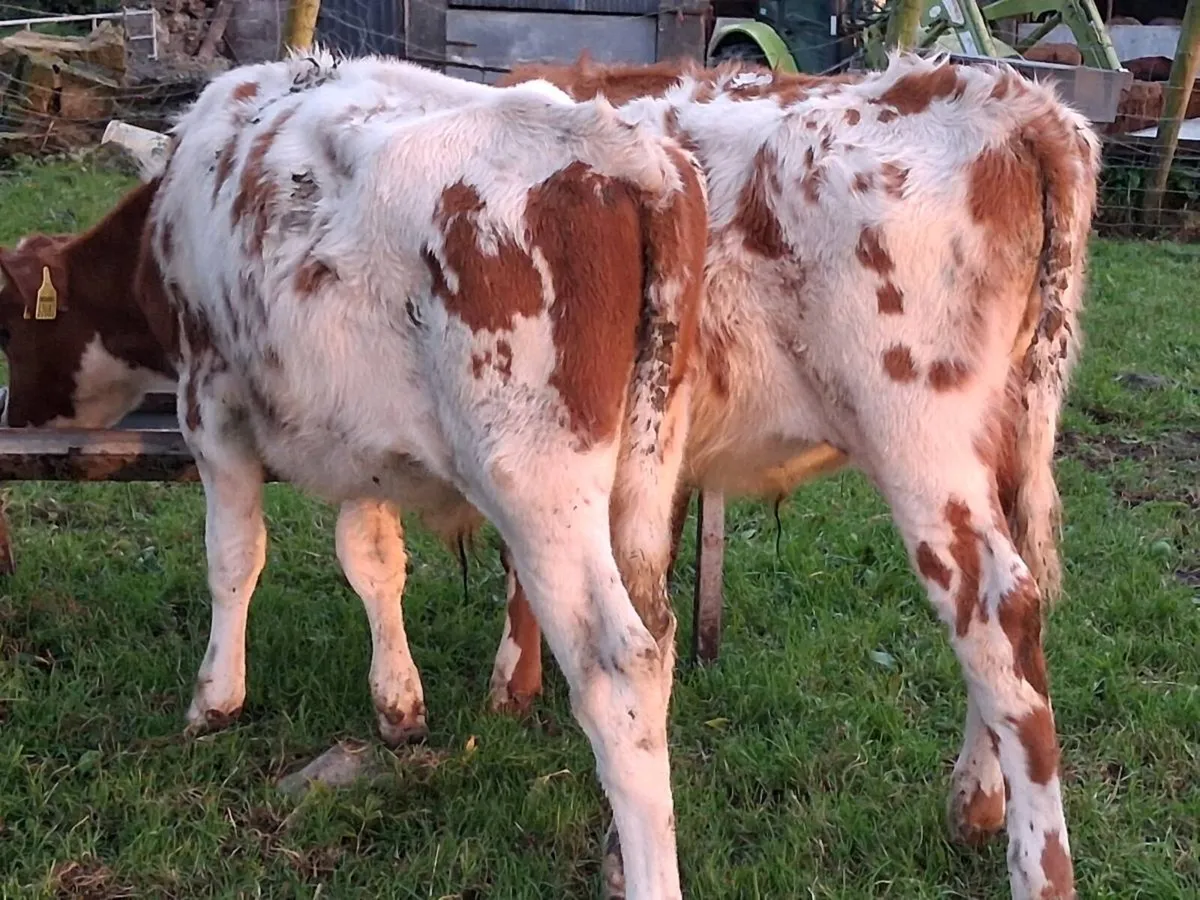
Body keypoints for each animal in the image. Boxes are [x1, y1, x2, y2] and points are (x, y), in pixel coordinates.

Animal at [1, 48, 710, 899]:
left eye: (8, 327)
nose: (17, 416)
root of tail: (622, 154)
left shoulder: (211, 403)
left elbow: (233, 558)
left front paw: (216, 698)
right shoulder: (364, 442)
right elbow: (372, 562)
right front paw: (398, 703)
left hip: (538, 480)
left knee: (620, 665)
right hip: (647, 466)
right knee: (656, 633)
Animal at [488, 52, 1102, 900]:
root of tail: (1015, 100)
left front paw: (509, 686)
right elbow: (646, 583)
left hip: (918, 435)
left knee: (997, 610)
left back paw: (1038, 869)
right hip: (1008, 430)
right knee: (1019, 611)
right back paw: (976, 801)